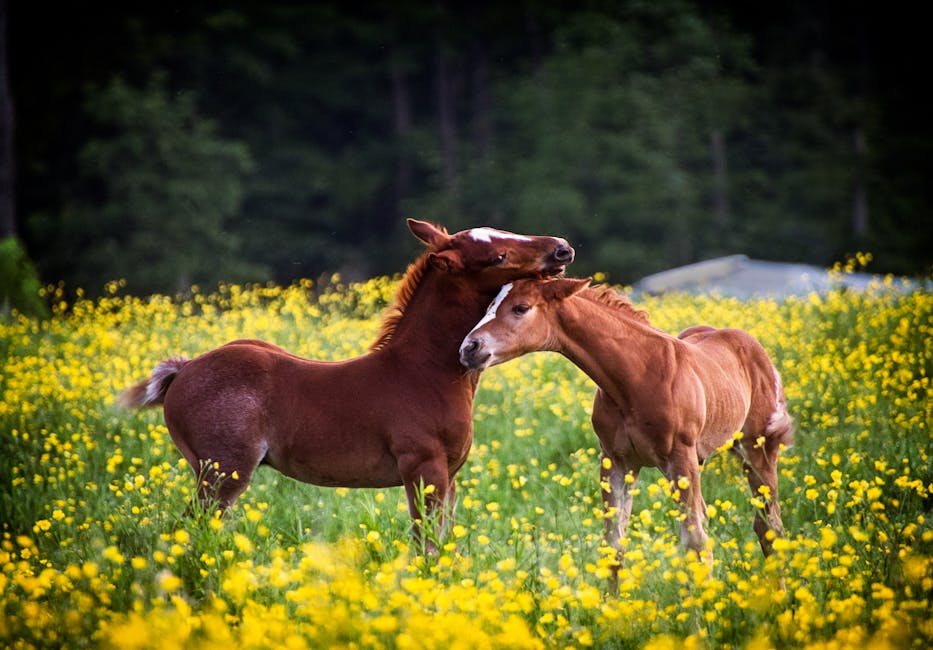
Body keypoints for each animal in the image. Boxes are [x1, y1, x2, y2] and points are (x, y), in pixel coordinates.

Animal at [120, 220, 572, 544]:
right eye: (497, 255)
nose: (561, 247)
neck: (426, 372)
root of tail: (184, 370)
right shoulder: (423, 468)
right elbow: (425, 544)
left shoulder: (451, 475)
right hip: (223, 472)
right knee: (190, 529)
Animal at [458, 276, 792, 580]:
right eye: (490, 305)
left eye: (521, 307)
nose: (469, 348)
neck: (635, 377)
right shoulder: (617, 461)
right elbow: (614, 545)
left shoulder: (680, 458)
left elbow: (695, 543)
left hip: (757, 448)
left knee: (768, 525)